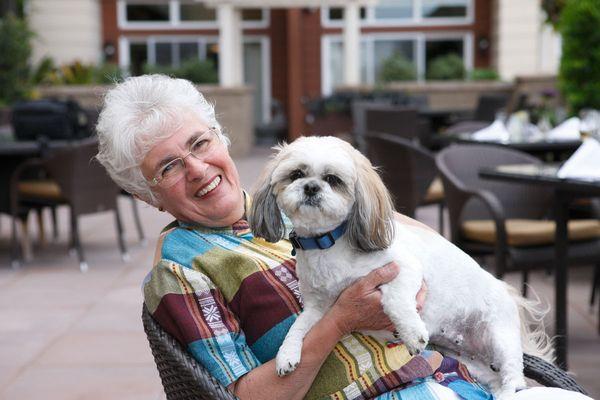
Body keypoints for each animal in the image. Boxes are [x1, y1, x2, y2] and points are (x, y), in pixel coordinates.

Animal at [248, 136, 552, 398]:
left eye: (332, 180)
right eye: (296, 174)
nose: (311, 187)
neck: (327, 245)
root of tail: (506, 290)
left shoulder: (405, 269)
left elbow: (393, 299)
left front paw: (411, 334)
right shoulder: (319, 308)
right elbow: (298, 327)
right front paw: (287, 354)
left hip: (500, 336)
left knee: (514, 375)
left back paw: (507, 392)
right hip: (470, 359)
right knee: (492, 376)